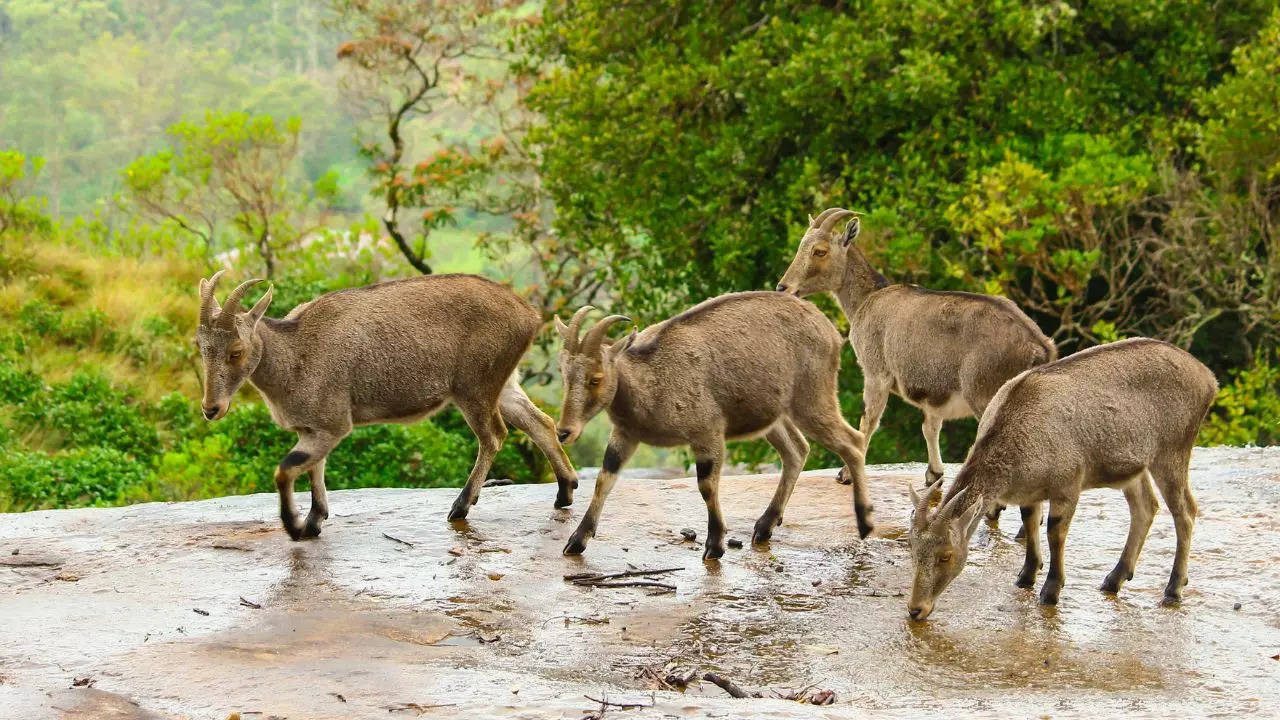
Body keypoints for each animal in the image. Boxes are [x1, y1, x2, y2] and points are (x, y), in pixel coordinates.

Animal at [194, 271, 581, 535]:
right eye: (201, 346)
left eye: (236, 351)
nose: (211, 409)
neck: (294, 354)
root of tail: (530, 316)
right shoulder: (315, 428)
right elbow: (313, 469)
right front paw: (316, 519)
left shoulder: (334, 423)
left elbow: (286, 469)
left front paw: (296, 526)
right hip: (504, 383)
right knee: (540, 422)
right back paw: (565, 491)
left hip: (474, 386)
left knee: (494, 436)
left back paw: (461, 506)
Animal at [555, 288, 875, 558]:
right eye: (564, 374)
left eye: (596, 378)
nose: (564, 432)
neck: (651, 380)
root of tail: (830, 331)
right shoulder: (626, 433)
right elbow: (604, 479)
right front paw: (577, 540)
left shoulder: (707, 431)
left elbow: (707, 485)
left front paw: (715, 544)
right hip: (775, 416)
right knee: (797, 450)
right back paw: (765, 526)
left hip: (812, 398)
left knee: (852, 442)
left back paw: (865, 522)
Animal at [773, 207, 1054, 527]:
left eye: (819, 251)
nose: (784, 287)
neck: (867, 299)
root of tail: (1038, 345)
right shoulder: (933, 393)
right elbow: (930, 426)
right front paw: (934, 474)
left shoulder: (876, 373)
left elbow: (868, 421)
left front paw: (846, 474)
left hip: (986, 395)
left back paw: (998, 511)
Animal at [906, 335, 1213, 617]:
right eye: (913, 549)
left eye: (946, 555)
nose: (916, 609)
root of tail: (1209, 380)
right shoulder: (1030, 491)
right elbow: (1030, 523)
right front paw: (1026, 576)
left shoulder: (1068, 482)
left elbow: (1055, 531)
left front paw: (1051, 591)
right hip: (1134, 466)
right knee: (1145, 507)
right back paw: (1113, 579)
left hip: (1173, 450)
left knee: (1185, 511)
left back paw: (1173, 589)